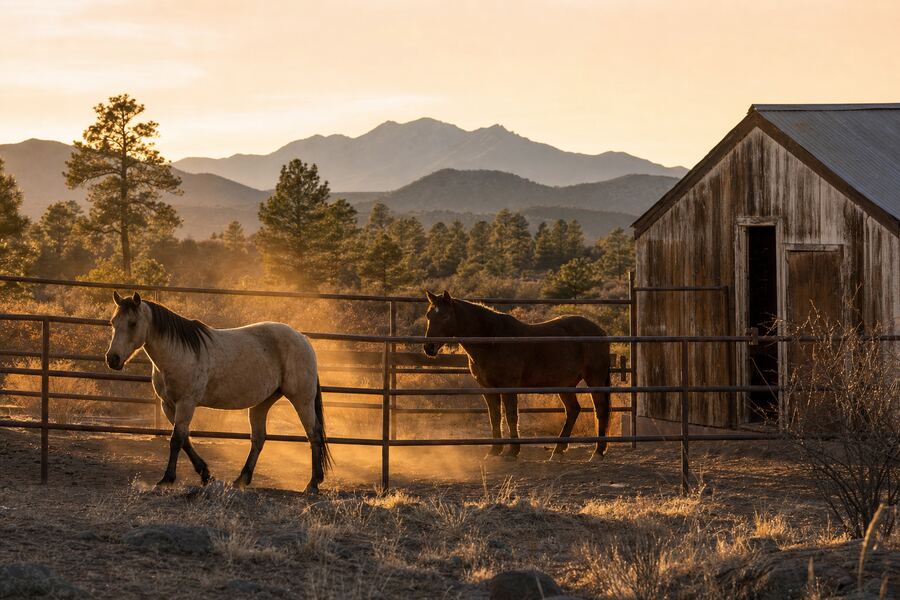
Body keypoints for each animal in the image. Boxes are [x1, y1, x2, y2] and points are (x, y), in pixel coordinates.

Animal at [104, 292, 331, 492]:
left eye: (132, 323)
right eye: (113, 322)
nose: (112, 359)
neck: (178, 351)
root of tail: (302, 338)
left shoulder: (186, 403)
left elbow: (176, 440)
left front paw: (166, 480)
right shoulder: (168, 405)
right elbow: (185, 439)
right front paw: (206, 475)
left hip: (302, 399)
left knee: (314, 434)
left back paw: (312, 484)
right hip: (262, 403)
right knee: (258, 439)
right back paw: (241, 480)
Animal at [422, 290, 611, 461]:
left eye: (445, 316)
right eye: (429, 315)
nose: (428, 348)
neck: (492, 340)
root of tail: (600, 331)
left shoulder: (508, 387)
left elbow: (512, 416)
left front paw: (513, 451)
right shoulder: (488, 388)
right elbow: (495, 417)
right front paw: (494, 451)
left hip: (595, 378)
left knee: (600, 409)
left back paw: (597, 452)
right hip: (565, 384)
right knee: (573, 410)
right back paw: (558, 450)